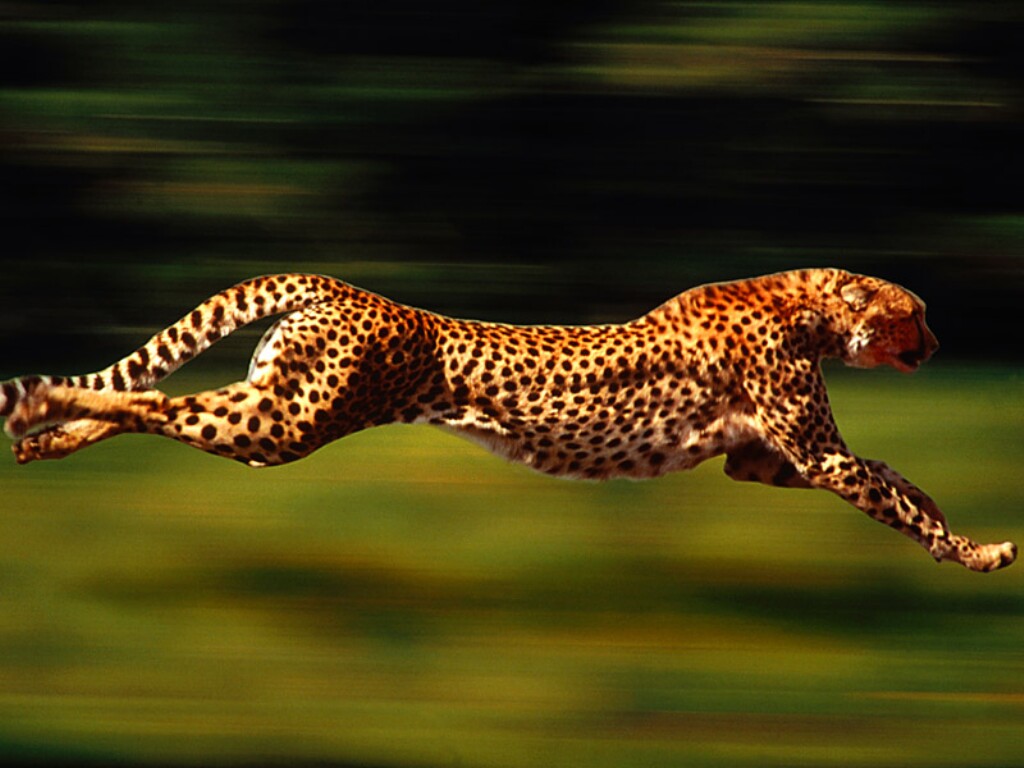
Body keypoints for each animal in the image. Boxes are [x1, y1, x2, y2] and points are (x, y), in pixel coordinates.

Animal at [0, 268, 1016, 572]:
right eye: (917, 312)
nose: (937, 340)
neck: (806, 304)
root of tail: (338, 284)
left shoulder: (763, 461)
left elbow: (896, 478)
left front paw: (958, 530)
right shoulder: (811, 456)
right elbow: (891, 493)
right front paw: (974, 552)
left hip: (271, 412)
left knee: (161, 405)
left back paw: (47, 433)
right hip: (288, 424)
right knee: (154, 400)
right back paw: (45, 406)